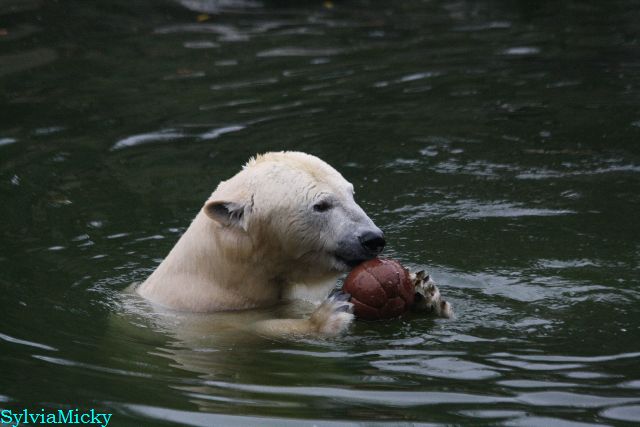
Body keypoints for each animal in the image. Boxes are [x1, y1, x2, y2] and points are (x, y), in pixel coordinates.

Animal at [136, 151, 386, 336]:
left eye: (351, 193)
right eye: (321, 205)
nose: (373, 238)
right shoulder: (210, 315)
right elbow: (260, 328)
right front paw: (329, 314)